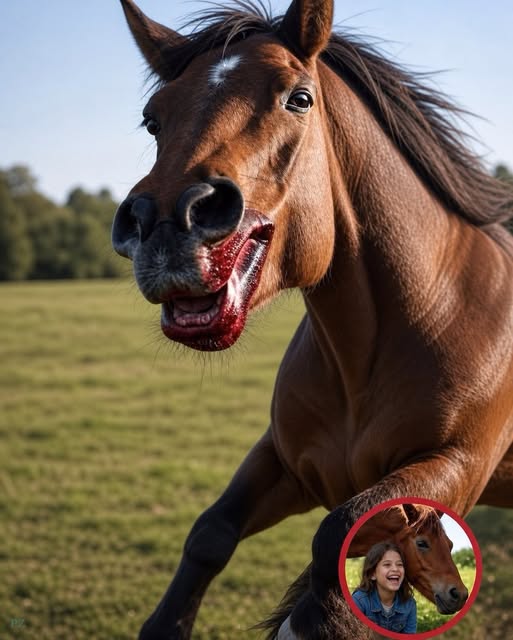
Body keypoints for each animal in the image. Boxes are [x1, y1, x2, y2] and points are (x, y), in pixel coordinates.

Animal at [112, 1, 513, 638]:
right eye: (153, 120)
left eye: (298, 98)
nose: (166, 223)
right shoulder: (286, 460)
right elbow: (209, 534)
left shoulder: (457, 465)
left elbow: (336, 540)